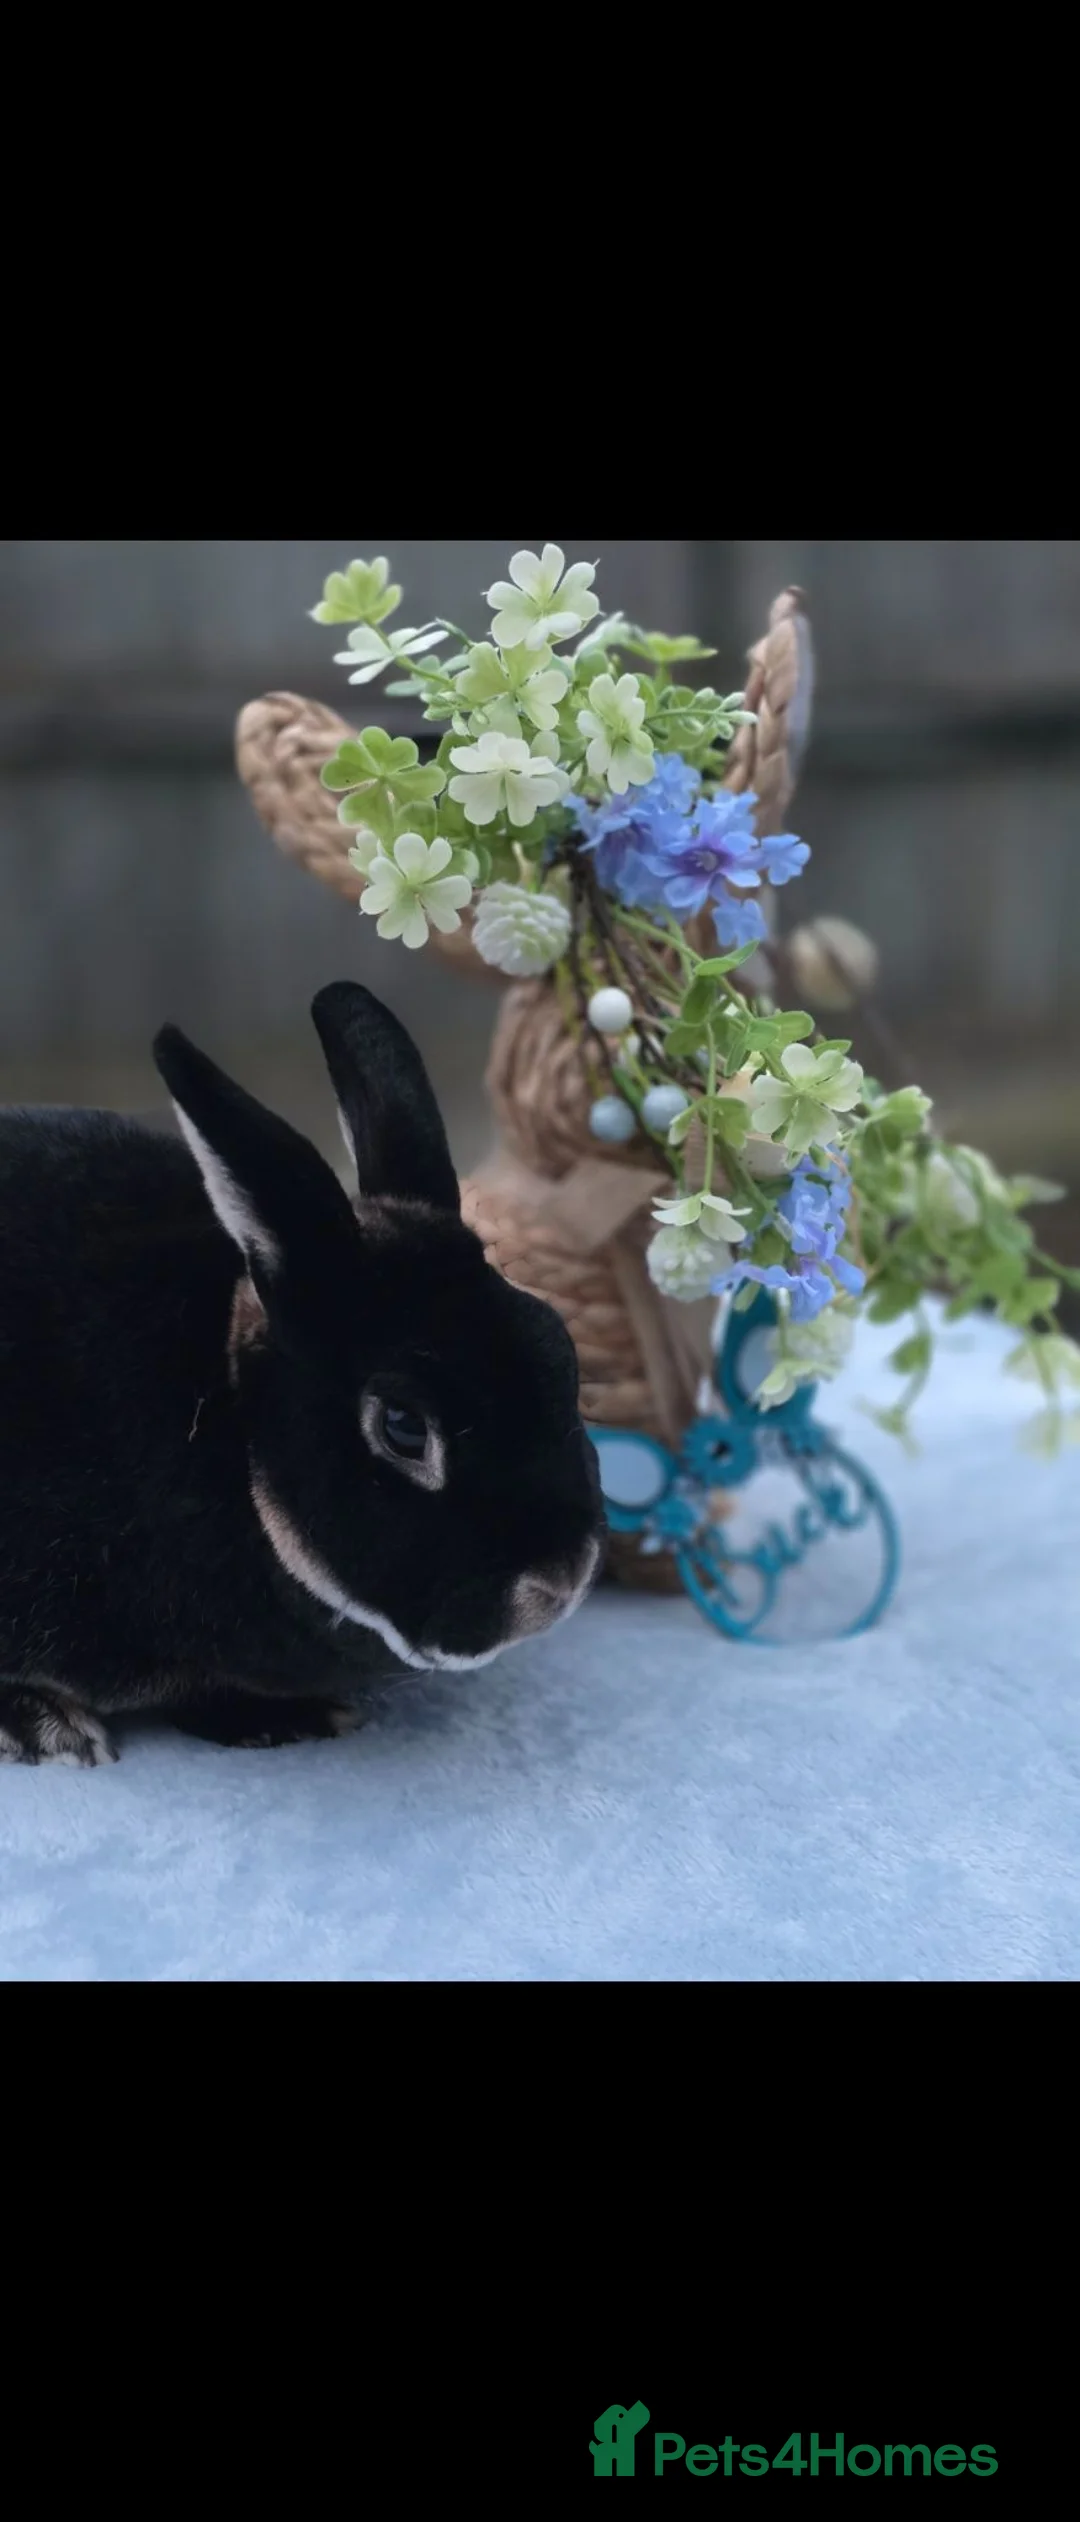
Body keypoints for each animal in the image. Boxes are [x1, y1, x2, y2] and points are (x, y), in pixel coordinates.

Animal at [0, 981, 604, 1764]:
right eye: (403, 1428)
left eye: (558, 1347)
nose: (560, 1581)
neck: (223, 1419)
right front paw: (50, 1730)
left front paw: (289, 1716)